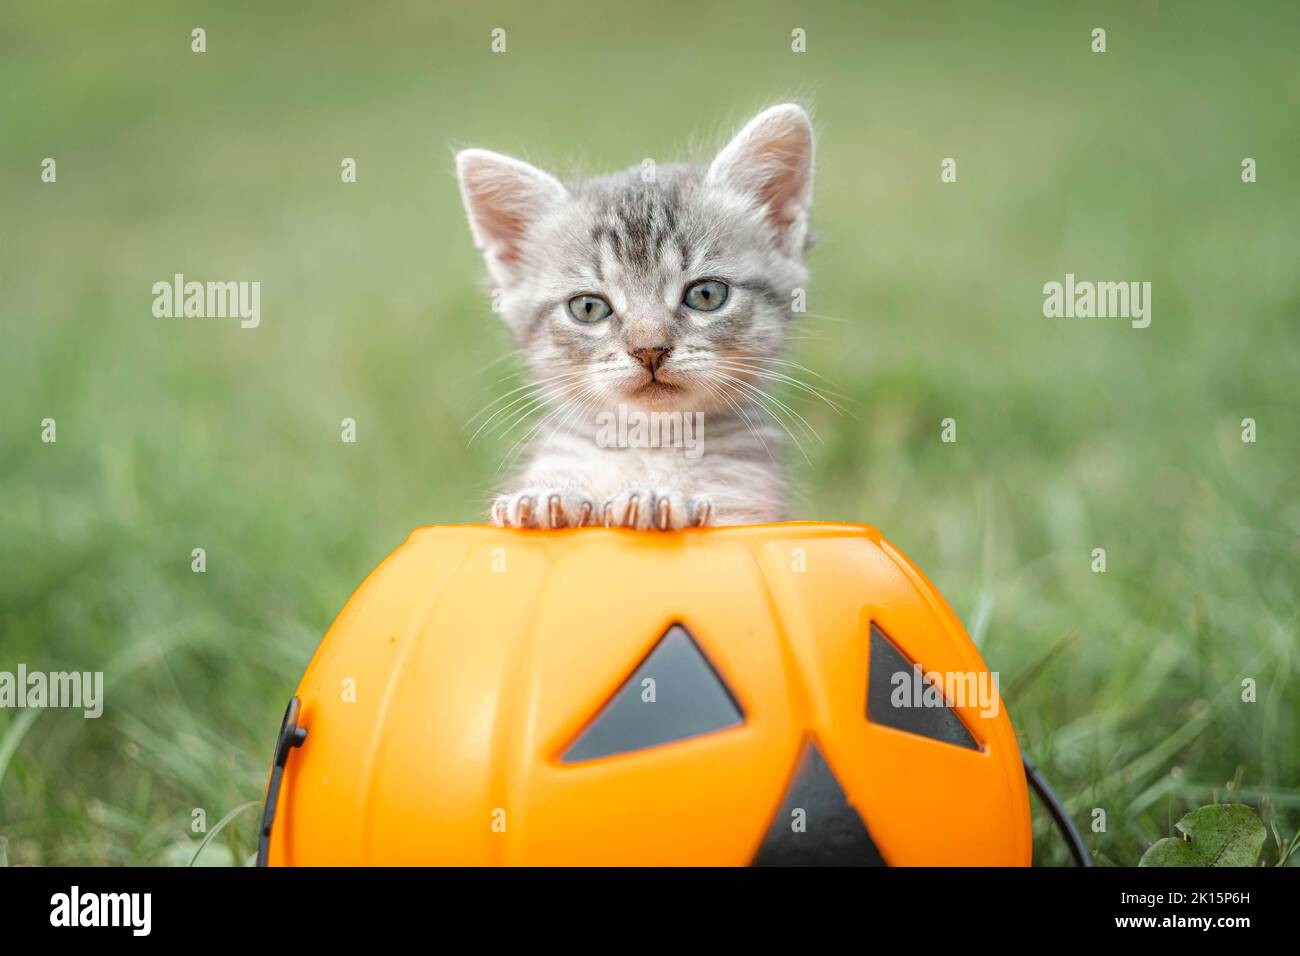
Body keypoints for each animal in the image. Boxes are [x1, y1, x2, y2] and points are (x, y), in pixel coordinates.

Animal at [457, 104, 811, 530]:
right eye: (588, 308)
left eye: (706, 295)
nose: (649, 349)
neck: (647, 446)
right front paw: (549, 497)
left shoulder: (751, 502)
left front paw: (655, 499)